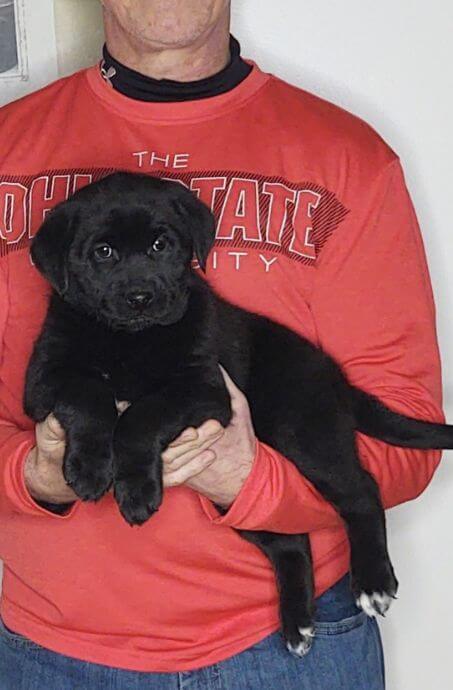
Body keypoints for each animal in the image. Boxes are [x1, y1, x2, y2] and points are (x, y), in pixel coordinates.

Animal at [23, 172, 452, 656]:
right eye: (103, 252)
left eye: (160, 244)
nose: (141, 297)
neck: (131, 339)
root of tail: (334, 375)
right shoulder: (43, 379)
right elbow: (88, 391)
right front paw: (91, 467)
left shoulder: (205, 388)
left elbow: (141, 416)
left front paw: (134, 490)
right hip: (238, 494)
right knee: (289, 539)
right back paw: (298, 623)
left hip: (303, 429)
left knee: (361, 490)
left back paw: (374, 581)